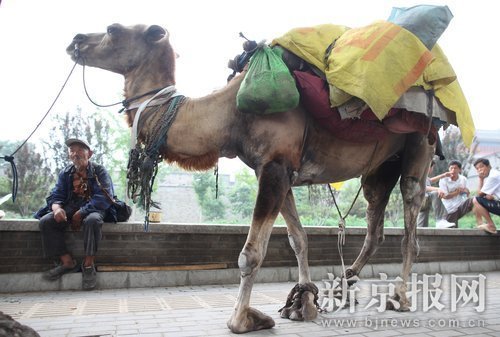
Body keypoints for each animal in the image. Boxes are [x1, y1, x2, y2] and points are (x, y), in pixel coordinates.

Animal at [65, 24, 434, 334]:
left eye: (113, 29)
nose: (76, 40)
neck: (229, 114)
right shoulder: (275, 169)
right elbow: (298, 240)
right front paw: (303, 300)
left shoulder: (275, 166)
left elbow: (251, 253)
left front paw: (242, 319)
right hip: (380, 167)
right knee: (375, 225)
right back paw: (344, 285)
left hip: (420, 144)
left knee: (411, 226)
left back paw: (399, 297)